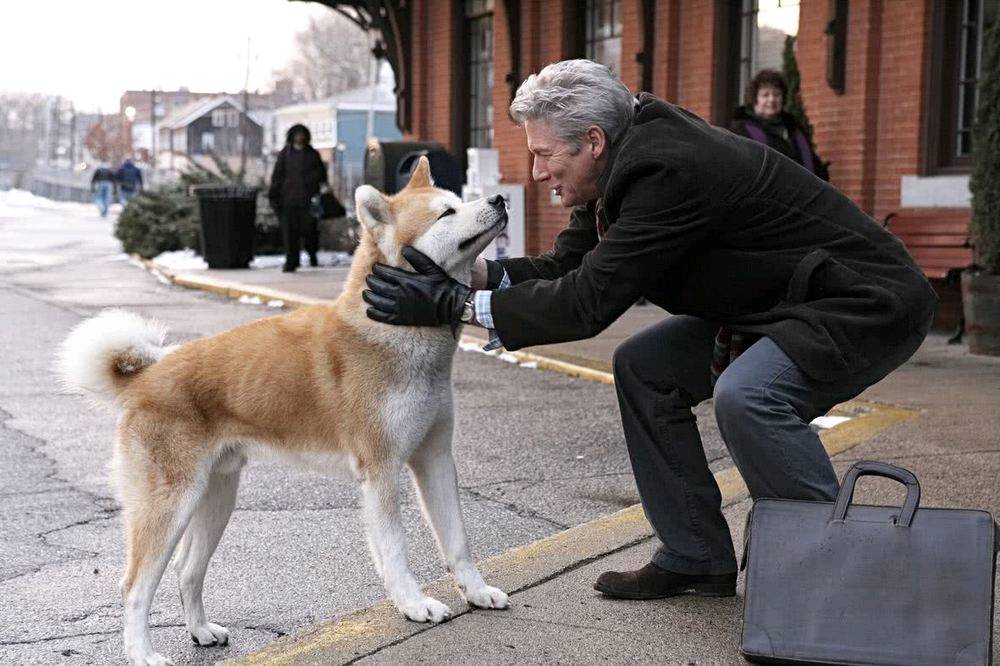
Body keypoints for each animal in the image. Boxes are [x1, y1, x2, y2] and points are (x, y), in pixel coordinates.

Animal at [56, 158, 508, 660]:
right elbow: (395, 551)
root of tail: (145, 378)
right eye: (446, 212)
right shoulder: (382, 471)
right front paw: (413, 604)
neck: (395, 330)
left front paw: (476, 591)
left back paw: (201, 631)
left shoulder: (434, 459)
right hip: (169, 506)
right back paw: (143, 654)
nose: (499, 199)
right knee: (134, 587)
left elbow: (459, 541)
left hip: (216, 498)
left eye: (459, 201)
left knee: (187, 571)